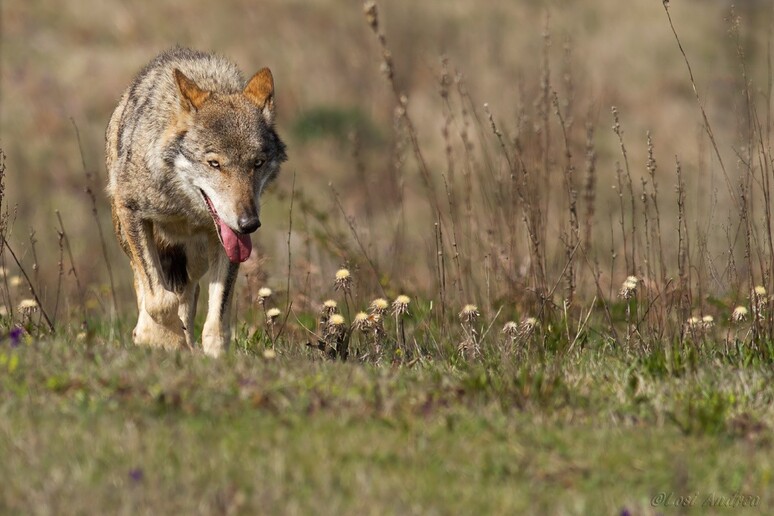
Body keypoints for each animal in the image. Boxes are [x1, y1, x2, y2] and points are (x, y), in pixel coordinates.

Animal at [106, 48, 288, 354]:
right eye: (214, 164)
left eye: (257, 163)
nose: (249, 223)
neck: (183, 208)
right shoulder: (132, 211)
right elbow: (158, 300)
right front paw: (164, 341)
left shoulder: (227, 241)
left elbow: (217, 322)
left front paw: (213, 355)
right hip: (129, 236)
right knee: (145, 285)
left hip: (194, 259)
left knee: (189, 293)